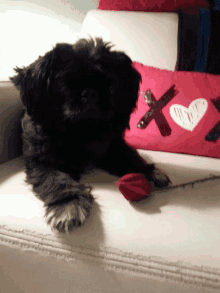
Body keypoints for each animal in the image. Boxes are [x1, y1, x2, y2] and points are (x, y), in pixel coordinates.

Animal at [10, 37, 170, 232]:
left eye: (109, 82)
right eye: (66, 83)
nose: (91, 93)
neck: (81, 128)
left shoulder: (113, 147)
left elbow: (131, 158)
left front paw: (149, 171)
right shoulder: (41, 161)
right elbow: (57, 180)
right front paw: (68, 204)